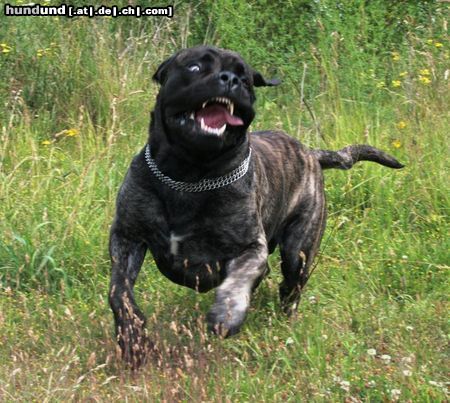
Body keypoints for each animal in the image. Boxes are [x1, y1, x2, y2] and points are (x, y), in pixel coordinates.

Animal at [109, 45, 404, 368]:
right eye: (195, 67)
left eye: (246, 80)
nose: (230, 79)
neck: (188, 176)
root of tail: (311, 153)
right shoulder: (127, 237)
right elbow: (119, 291)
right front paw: (132, 337)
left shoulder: (250, 247)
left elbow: (238, 280)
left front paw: (227, 313)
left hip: (298, 251)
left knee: (290, 286)